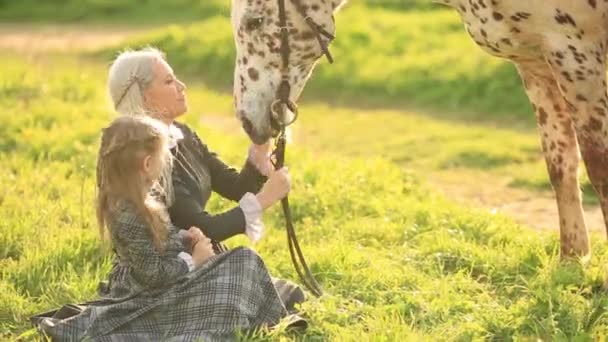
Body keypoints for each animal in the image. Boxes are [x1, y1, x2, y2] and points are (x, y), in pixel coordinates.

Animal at [230, 0, 608, 260]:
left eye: (255, 21)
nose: (247, 120)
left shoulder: (577, 56)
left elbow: (598, 169)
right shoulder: (537, 63)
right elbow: (560, 165)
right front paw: (572, 262)